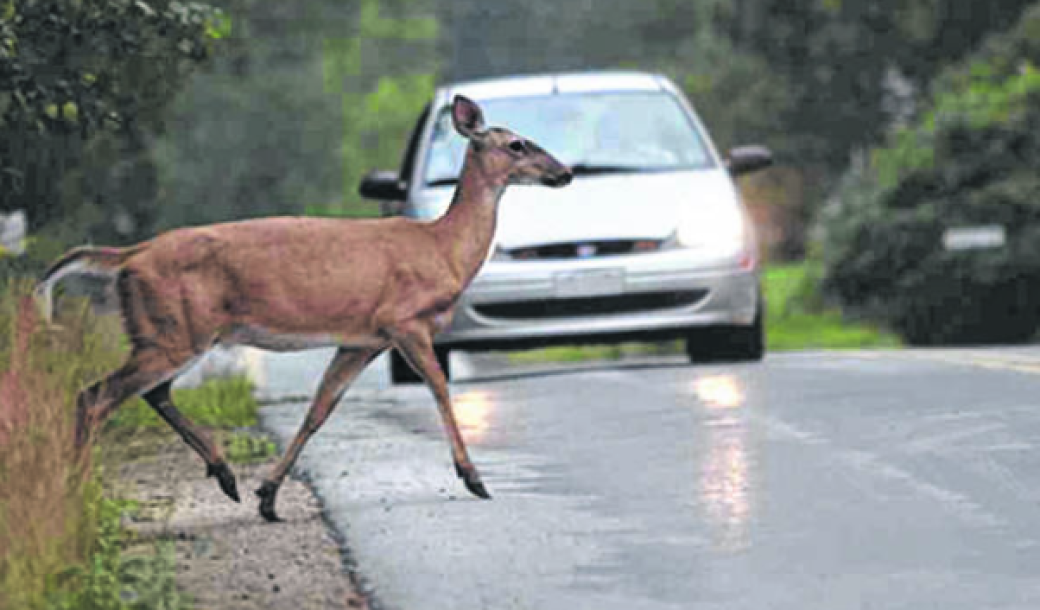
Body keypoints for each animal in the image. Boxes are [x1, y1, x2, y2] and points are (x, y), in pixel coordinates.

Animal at [36, 95, 574, 519]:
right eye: (518, 144)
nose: (565, 172)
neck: (443, 248)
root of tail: (130, 256)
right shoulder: (404, 320)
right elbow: (441, 388)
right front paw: (474, 479)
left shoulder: (361, 340)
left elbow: (319, 409)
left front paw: (268, 495)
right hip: (175, 329)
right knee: (95, 396)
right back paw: (75, 496)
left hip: (169, 332)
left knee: (151, 393)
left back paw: (225, 475)